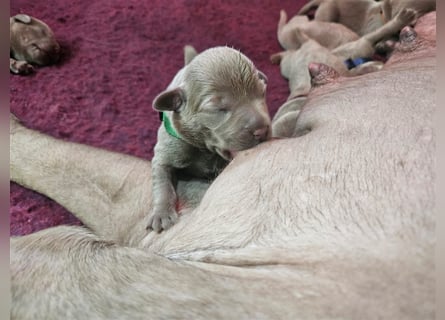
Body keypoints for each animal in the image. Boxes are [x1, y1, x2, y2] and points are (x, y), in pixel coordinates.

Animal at [147, 45, 268, 232]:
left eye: (262, 93)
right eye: (218, 109)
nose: (262, 131)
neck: (204, 148)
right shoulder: (167, 151)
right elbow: (162, 181)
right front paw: (162, 213)